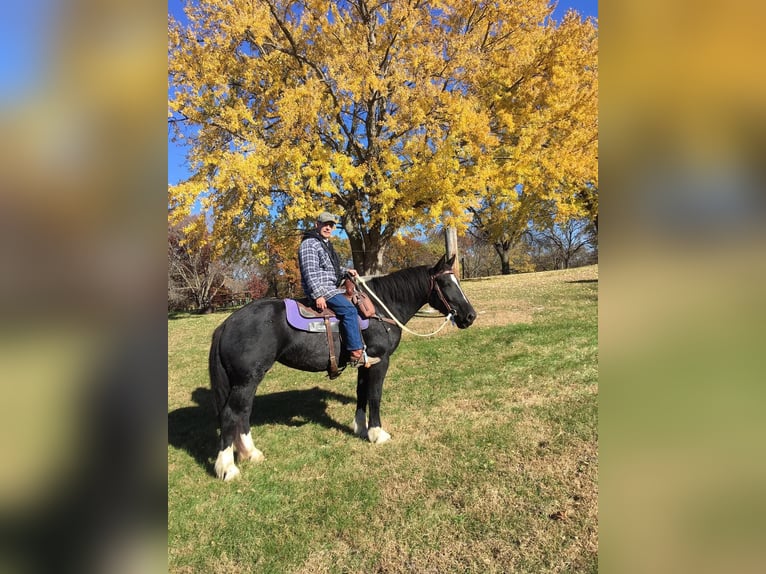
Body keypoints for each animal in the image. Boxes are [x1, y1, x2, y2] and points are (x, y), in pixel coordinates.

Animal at [207, 256, 476, 482]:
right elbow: (375, 396)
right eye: (445, 283)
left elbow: (361, 394)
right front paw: (377, 434)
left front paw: (360, 428)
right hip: (247, 380)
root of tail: (227, 323)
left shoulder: (366, 363)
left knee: (242, 414)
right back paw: (227, 468)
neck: (381, 309)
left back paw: (251, 453)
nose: (470, 316)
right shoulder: (381, 361)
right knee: (232, 414)